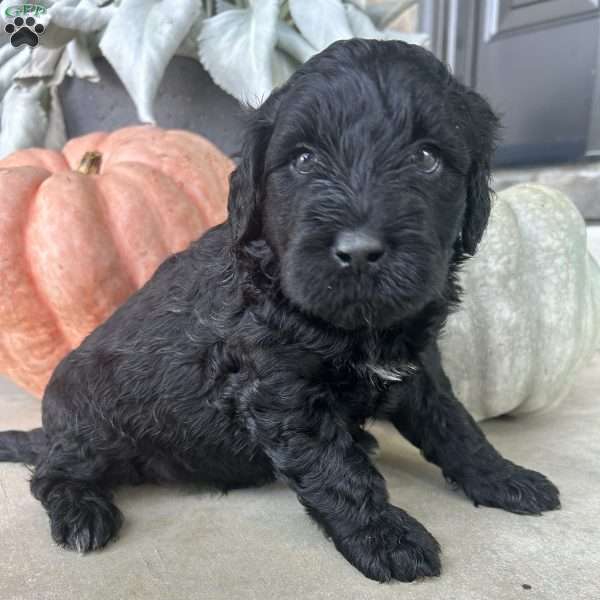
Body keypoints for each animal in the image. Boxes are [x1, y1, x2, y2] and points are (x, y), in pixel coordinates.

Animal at [0, 41, 556, 580]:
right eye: (305, 160)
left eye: (427, 157)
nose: (358, 251)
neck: (359, 326)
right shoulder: (280, 391)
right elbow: (339, 471)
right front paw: (385, 538)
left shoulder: (418, 368)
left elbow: (455, 426)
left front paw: (505, 477)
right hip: (92, 422)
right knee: (51, 472)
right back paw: (81, 512)